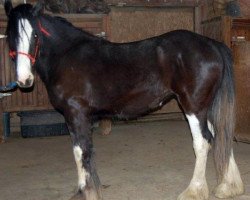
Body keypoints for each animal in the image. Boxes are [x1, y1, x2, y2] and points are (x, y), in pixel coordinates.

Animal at [2, 0, 243, 199]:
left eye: (35, 36)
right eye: (10, 36)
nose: (24, 80)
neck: (67, 56)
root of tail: (212, 44)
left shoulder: (76, 113)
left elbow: (80, 152)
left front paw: (85, 191)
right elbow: (84, 151)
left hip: (193, 107)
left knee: (203, 142)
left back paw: (194, 191)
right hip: (205, 108)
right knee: (220, 134)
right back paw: (228, 187)